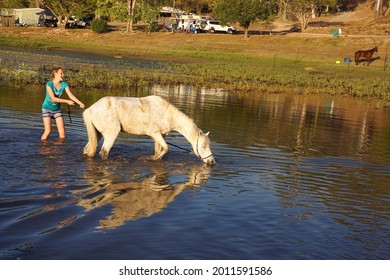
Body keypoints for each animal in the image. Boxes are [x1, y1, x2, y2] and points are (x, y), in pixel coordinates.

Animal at [83, 95, 216, 165]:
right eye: (203, 146)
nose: (211, 161)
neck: (167, 113)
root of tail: (91, 108)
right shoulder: (155, 134)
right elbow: (166, 148)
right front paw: (149, 158)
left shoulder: (161, 135)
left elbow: (159, 150)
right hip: (111, 133)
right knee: (104, 152)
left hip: (98, 134)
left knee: (88, 150)